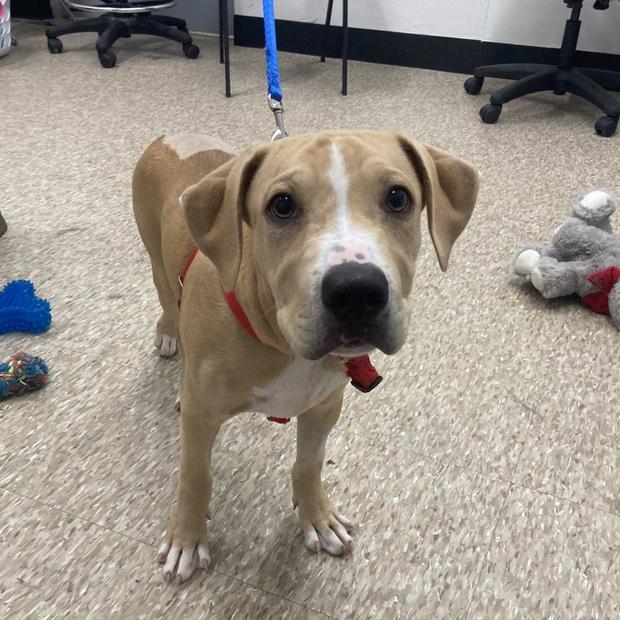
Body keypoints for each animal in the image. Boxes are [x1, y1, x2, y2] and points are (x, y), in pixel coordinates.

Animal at [131, 130, 480, 580]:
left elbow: (308, 466)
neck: (282, 341)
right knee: (168, 305)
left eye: (398, 198)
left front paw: (317, 518)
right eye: (281, 205)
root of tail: (170, 135)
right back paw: (170, 340)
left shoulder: (323, 407)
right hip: (156, 262)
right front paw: (186, 539)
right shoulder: (202, 418)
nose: (356, 290)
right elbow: (195, 476)